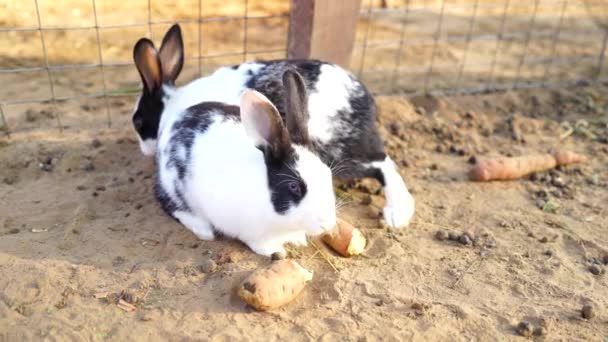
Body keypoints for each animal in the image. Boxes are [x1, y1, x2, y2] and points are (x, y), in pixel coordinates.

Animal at [157, 70, 334, 256]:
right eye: (294, 186)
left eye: (328, 174)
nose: (327, 224)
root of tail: (172, 123)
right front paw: (274, 251)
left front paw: (298, 240)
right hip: (174, 187)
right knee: (171, 205)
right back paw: (203, 230)